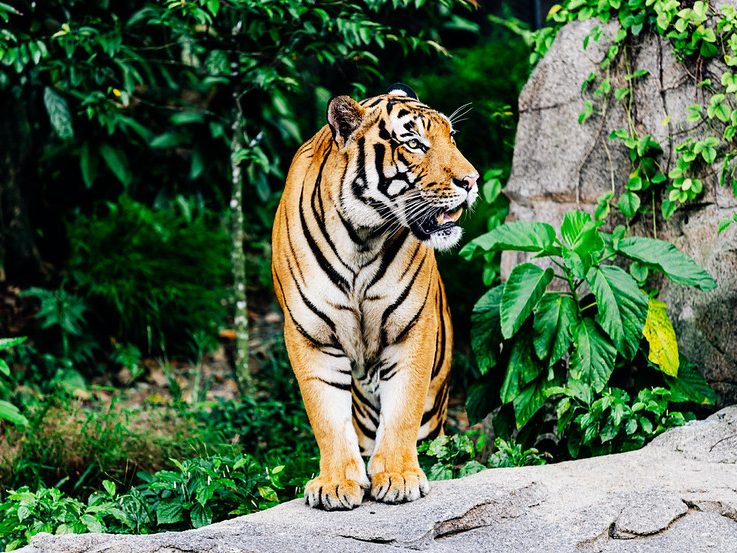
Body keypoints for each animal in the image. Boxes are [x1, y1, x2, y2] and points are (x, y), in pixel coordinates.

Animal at [271, 83, 478, 511]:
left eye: (451, 137)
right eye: (414, 143)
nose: (472, 180)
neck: (360, 238)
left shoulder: (412, 327)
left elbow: (403, 408)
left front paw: (398, 477)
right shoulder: (310, 336)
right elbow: (326, 415)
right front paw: (336, 483)